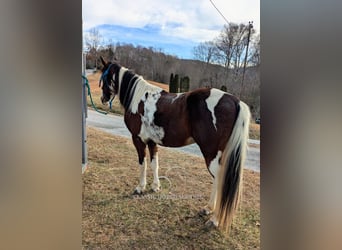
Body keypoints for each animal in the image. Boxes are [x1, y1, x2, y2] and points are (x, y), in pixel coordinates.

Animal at [97, 56, 250, 232]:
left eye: (104, 76)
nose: (103, 99)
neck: (138, 98)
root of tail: (235, 101)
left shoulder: (138, 140)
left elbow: (142, 163)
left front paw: (140, 187)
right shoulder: (152, 141)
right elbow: (154, 163)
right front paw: (155, 186)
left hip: (211, 153)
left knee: (219, 178)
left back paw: (214, 218)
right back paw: (208, 209)